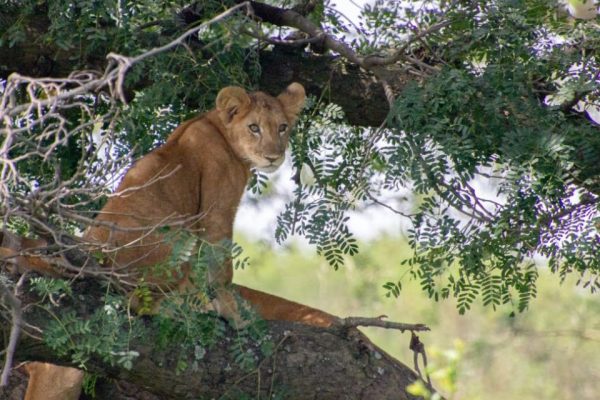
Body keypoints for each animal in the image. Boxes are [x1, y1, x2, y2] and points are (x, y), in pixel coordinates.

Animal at [0, 83, 336, 398]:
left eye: (282, 127)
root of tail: (91, 250)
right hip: (173, 244)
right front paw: (234, 313)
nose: (273, 156)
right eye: (254, 127)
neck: (216, 126)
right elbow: (220, 267)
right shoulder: (217, 208)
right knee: (139, 302)